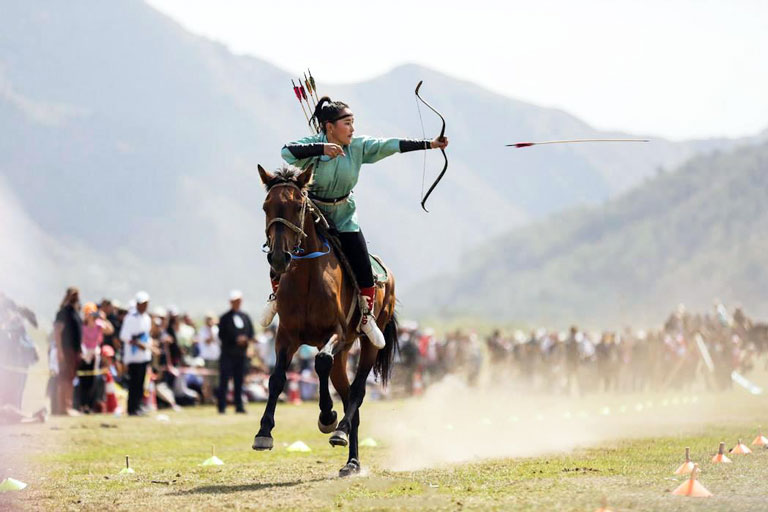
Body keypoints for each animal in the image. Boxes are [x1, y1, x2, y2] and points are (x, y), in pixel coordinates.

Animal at [252, 163, 400, 476]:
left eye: (298, 206)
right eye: (266, 206)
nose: (279, 258)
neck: (308, 275)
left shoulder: (337, 333)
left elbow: (320, 361)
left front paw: (326, 416)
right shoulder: (286, 336)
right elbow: (277, 378)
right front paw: (264, 432)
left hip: (367, 343)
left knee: (356, 392)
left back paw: (340, 430)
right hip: (343, 355)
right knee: (347, 395)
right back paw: (352, 461)